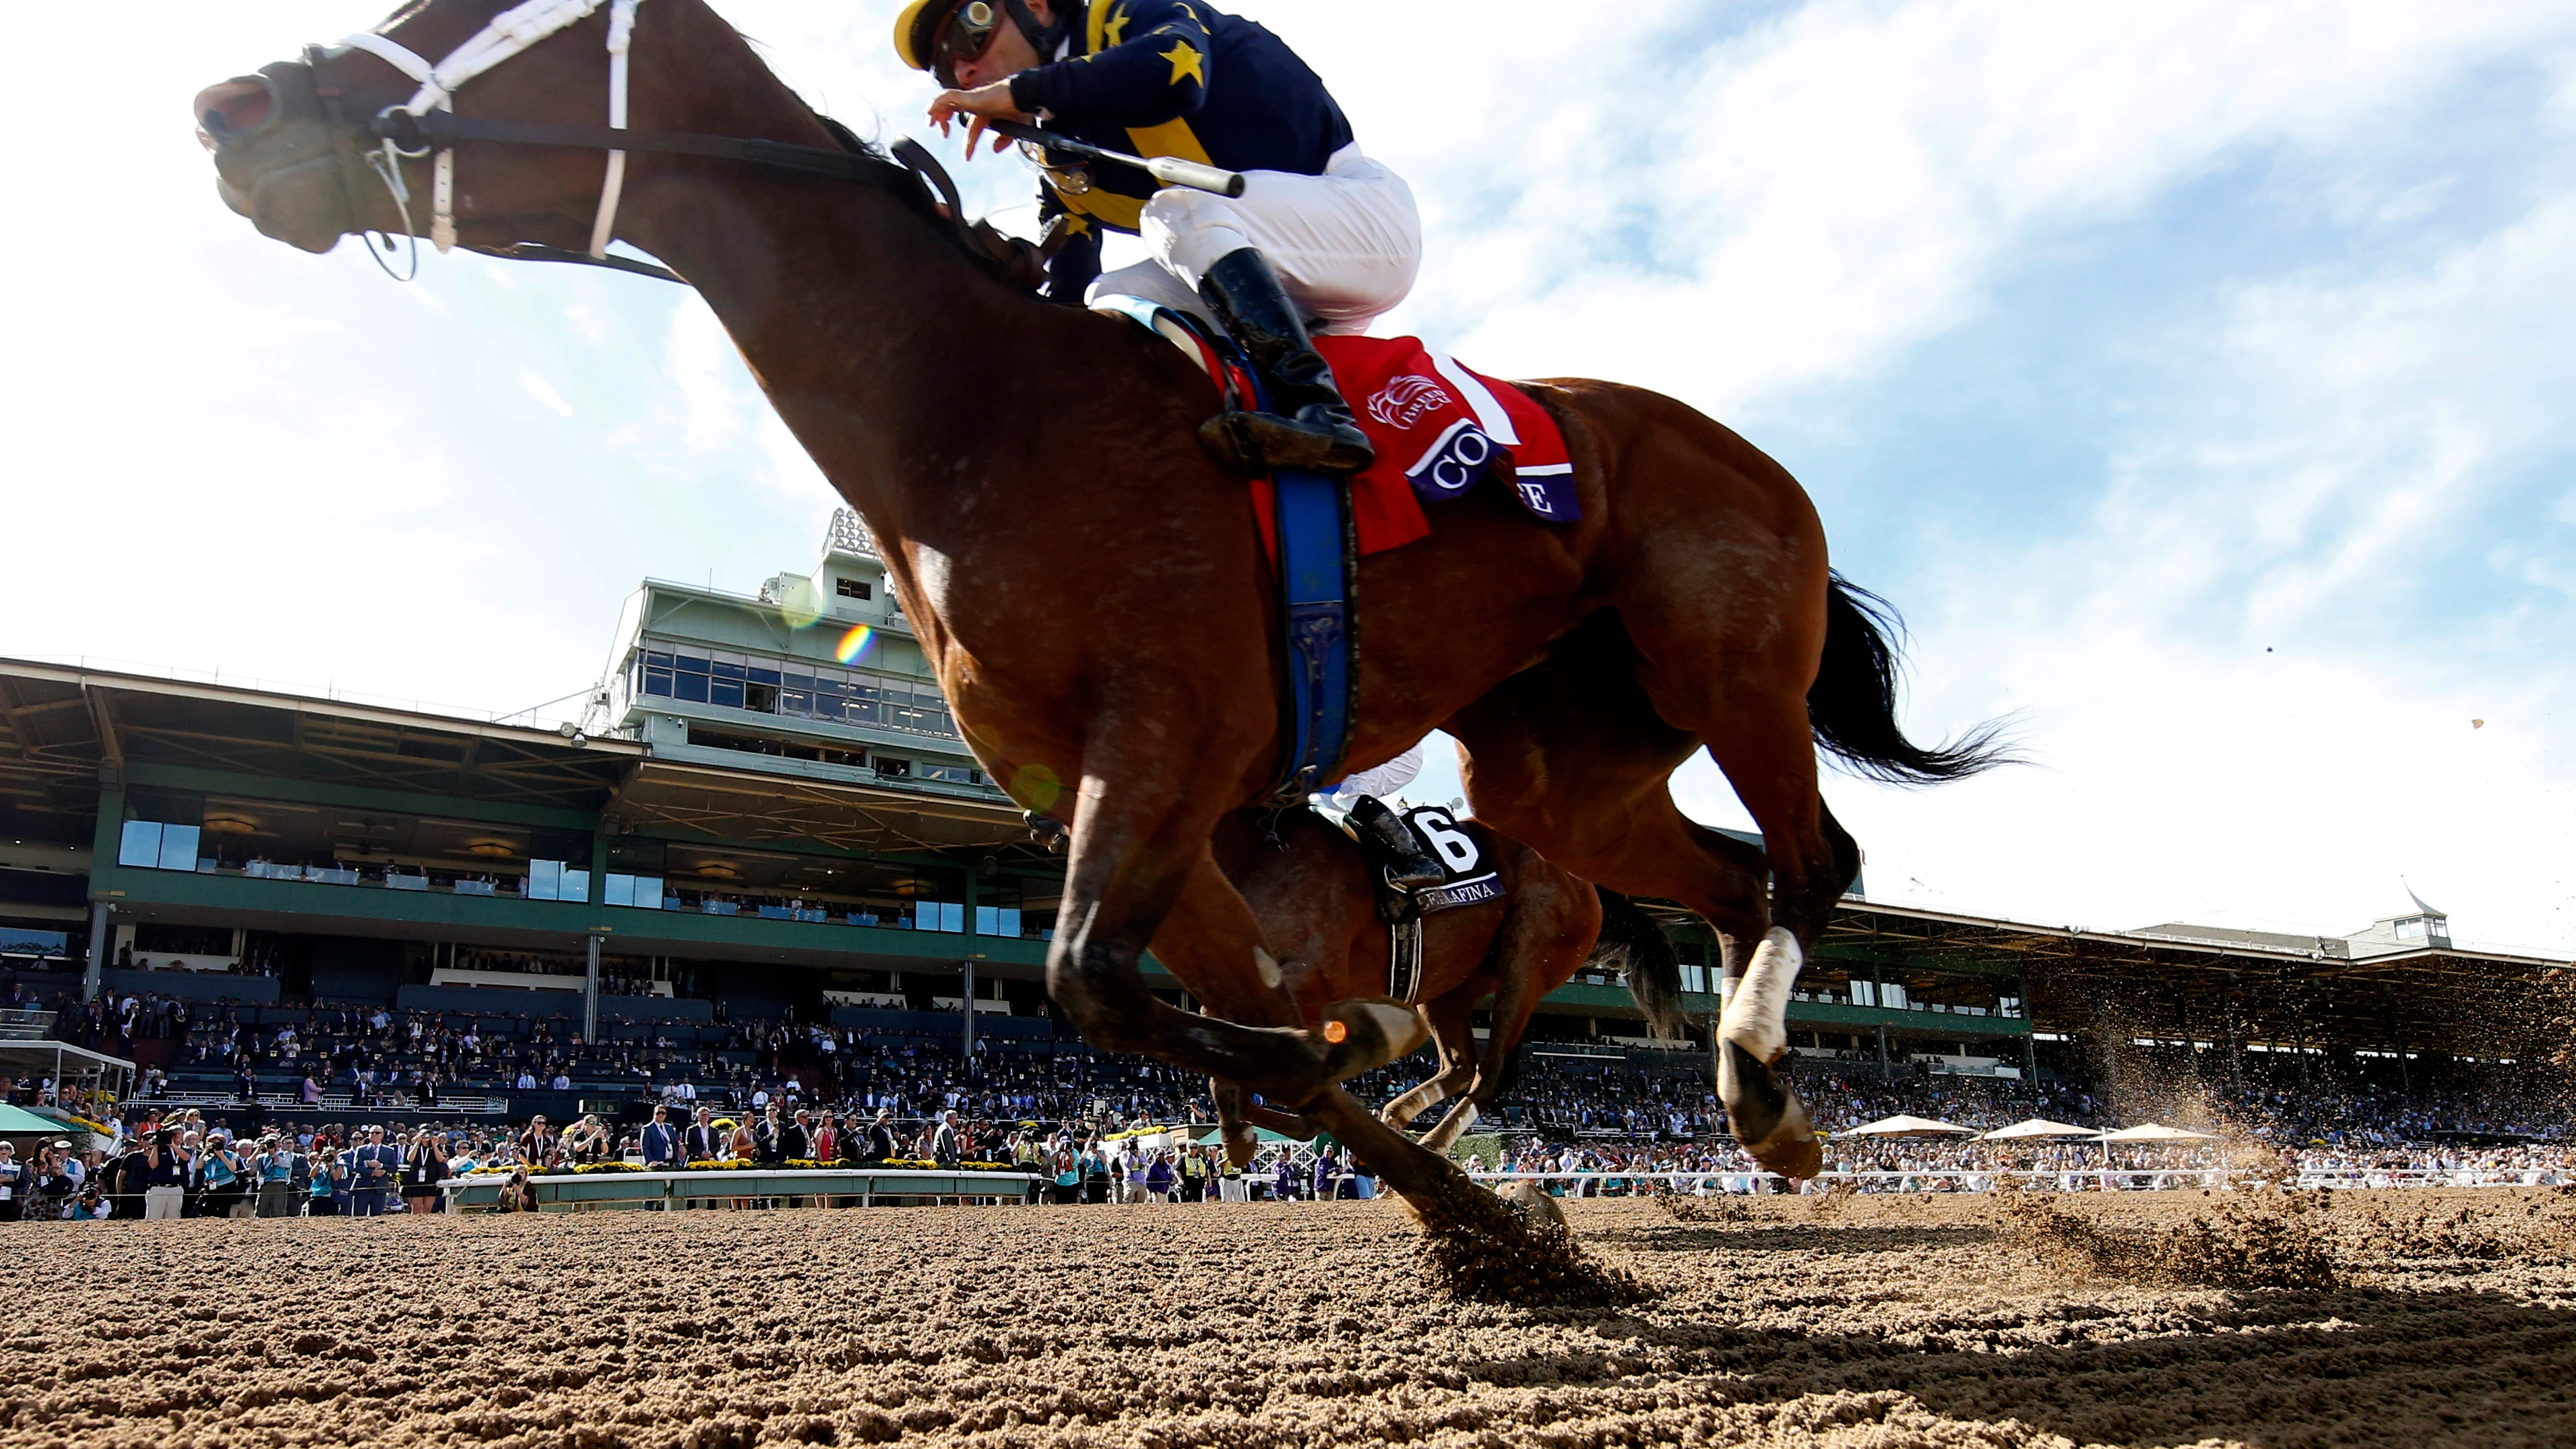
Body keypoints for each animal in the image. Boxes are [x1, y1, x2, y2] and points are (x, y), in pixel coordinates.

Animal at [1200, 804, 1689, 1154]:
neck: (1261, 855)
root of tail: (1586, 883)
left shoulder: (1310, 982)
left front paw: (1255, 1131)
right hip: (1449, 984)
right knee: (1459, 1065)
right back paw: (1392, 1118)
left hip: (1528, 957)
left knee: (1491, 1073)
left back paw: (1430, 1145)